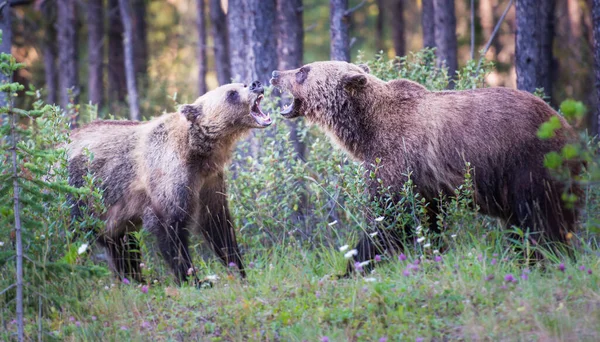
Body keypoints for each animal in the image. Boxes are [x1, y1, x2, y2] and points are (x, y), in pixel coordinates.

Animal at [67, 80, 270, 284]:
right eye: (231, 93)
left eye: (242, 84)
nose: (256, 84)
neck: (198, 153)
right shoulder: (169, 177)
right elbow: (170, 227)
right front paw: (194, 279)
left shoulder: (209, 182)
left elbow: (217, 224)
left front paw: (239, 270)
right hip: (79, 196)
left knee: (121, 247)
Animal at [270, 61, 580, 274]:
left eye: (303, 71)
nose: (274, 74)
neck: (366, 129)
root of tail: (566, 127)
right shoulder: (424, 182)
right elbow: (427, 221)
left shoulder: (396, 159)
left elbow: (388, 220)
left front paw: (351, 267)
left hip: (526, 164)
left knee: (538, 218)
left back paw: (542, 258)